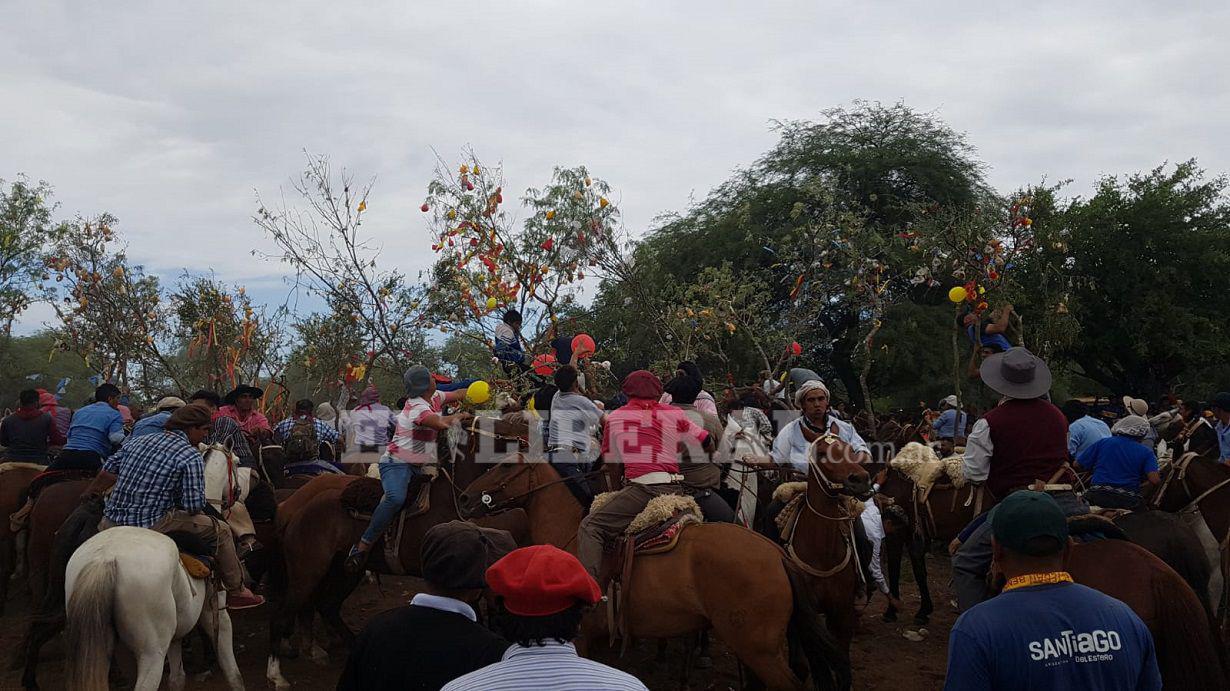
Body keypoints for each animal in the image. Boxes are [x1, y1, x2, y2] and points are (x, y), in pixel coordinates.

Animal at [63, 523, 244, 683]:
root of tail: (105, 560)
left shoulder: (175, 637)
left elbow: (177, 678)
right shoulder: (214, 613)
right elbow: (233, 673)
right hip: (152, 653)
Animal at [457, 454, 851, 683]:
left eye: (506, 465)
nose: (464, 497)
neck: (568, 534)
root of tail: (775, 552)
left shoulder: (580, 640)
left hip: (760, 650)